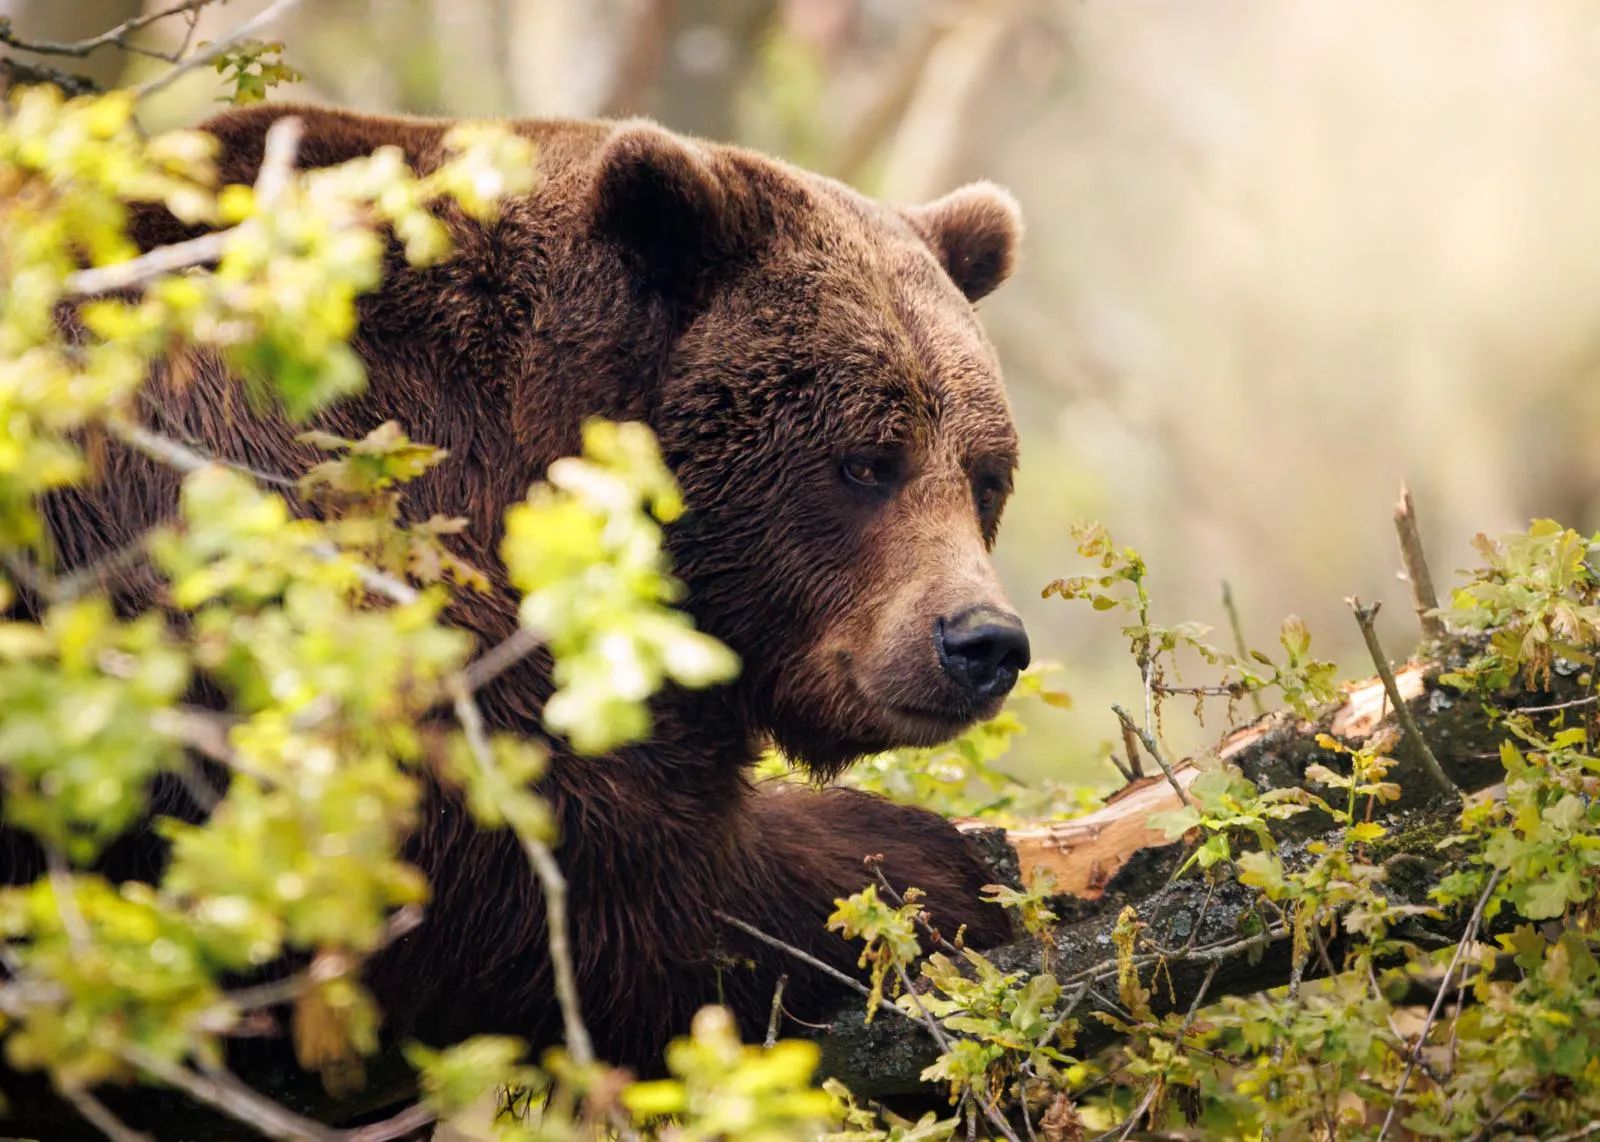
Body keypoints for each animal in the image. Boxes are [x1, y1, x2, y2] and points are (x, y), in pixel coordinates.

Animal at [3, 103, 1031, 1136]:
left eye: (985, 478)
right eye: (866, 462)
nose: (981, 643)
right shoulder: (321, 521)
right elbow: (576, 877)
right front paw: (935, 859)